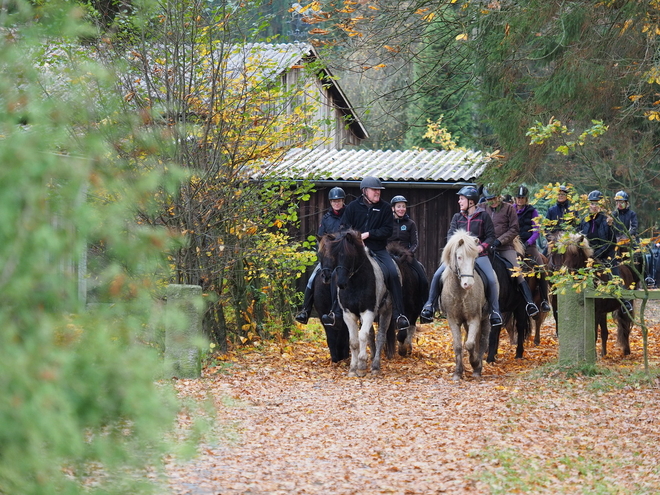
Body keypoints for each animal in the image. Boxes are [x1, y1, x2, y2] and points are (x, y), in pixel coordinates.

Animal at [438, 230, 490, 380]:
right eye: (459, 257)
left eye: (474, 258)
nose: (468, 284)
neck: (460, 291)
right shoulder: (453, 319)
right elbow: (458, 346)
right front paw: (457, 373)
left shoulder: (474, 318)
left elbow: (470, 344)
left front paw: (475, 363)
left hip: (485, 318)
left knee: (482, 340)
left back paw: (477, 369)